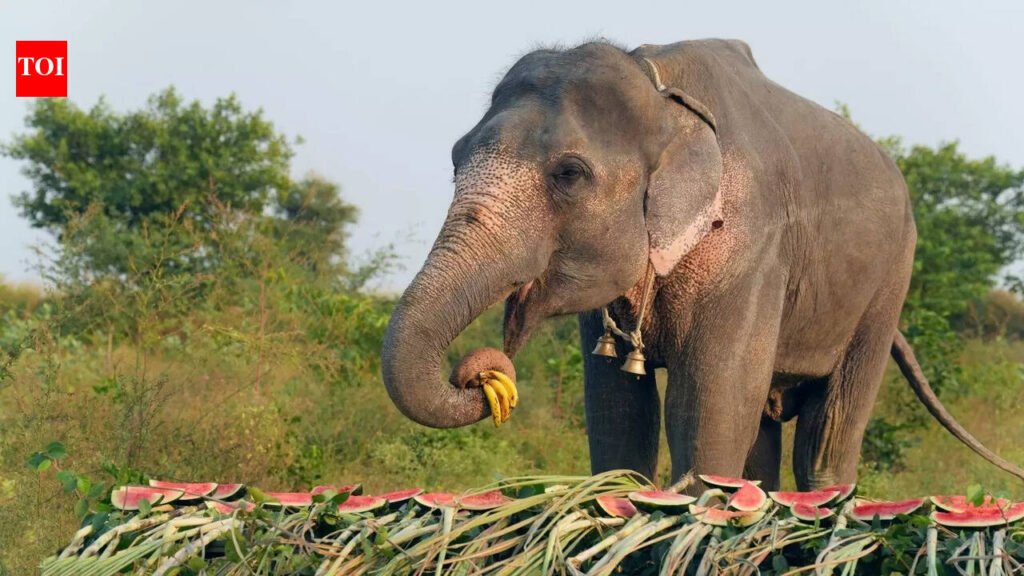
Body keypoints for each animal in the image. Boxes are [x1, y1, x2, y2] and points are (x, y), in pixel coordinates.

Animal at [380, 38, 1024, 491]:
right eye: (456, 155)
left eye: (569, 173)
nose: (482, 374)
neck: (656, 83)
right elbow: (619, 411)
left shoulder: (750, 242)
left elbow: (708, 409)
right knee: (762, 432)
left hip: (888, 283)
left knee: (825, 439)